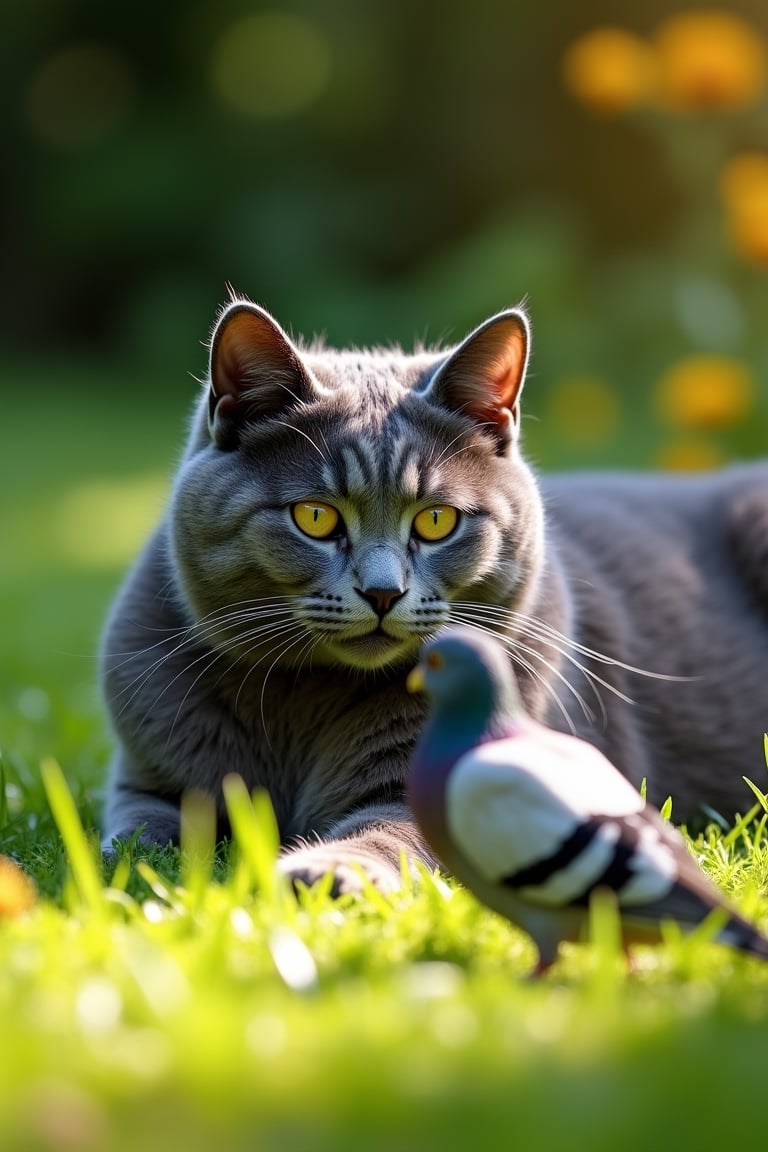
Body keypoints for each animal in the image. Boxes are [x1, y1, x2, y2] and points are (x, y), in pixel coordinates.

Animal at [100, 297, 768, 889]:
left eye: (436, 521)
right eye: (315, 517)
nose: (382, 591)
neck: (303, 698)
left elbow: (386, 833)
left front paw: (326, 870)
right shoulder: (150, 779)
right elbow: (143, 828)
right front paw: (133, 866)